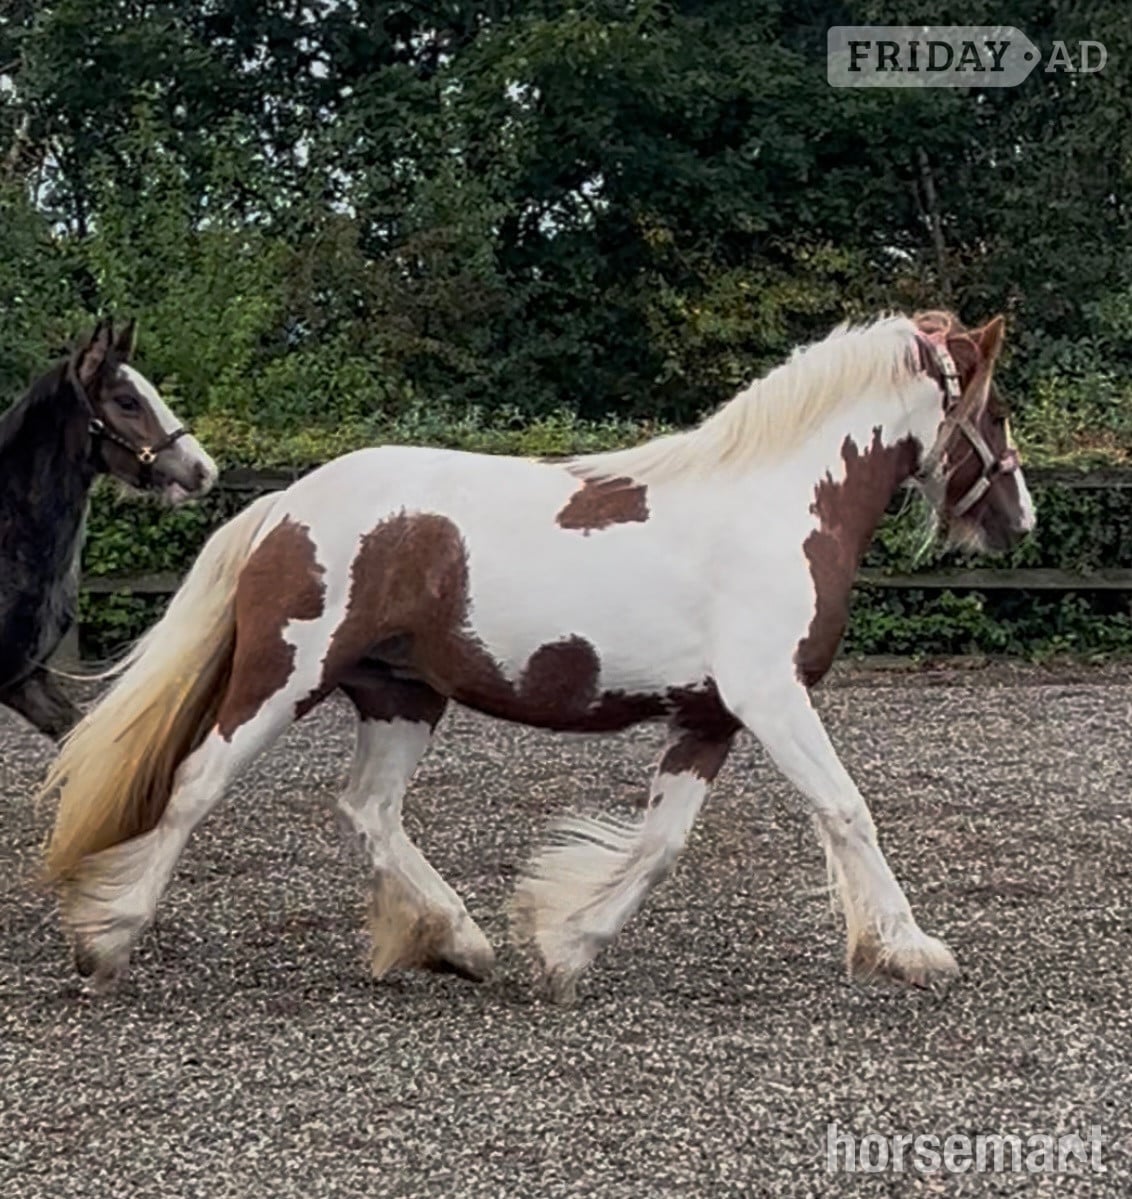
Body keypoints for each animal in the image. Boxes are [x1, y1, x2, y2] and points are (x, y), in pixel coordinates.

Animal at [39, 309, 1034, 1001]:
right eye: (995, 407)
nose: (1020, 517)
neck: (780, 503)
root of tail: (281, 506)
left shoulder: (708, 715)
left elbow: (661, 844)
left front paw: (565, 946)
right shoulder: (770, 696)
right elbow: (847, 809)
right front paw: (913, 949)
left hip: (402, 696)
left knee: (369, 808)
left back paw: (459, 941)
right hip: (282, 679)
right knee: (197, 784)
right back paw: (107, 940)